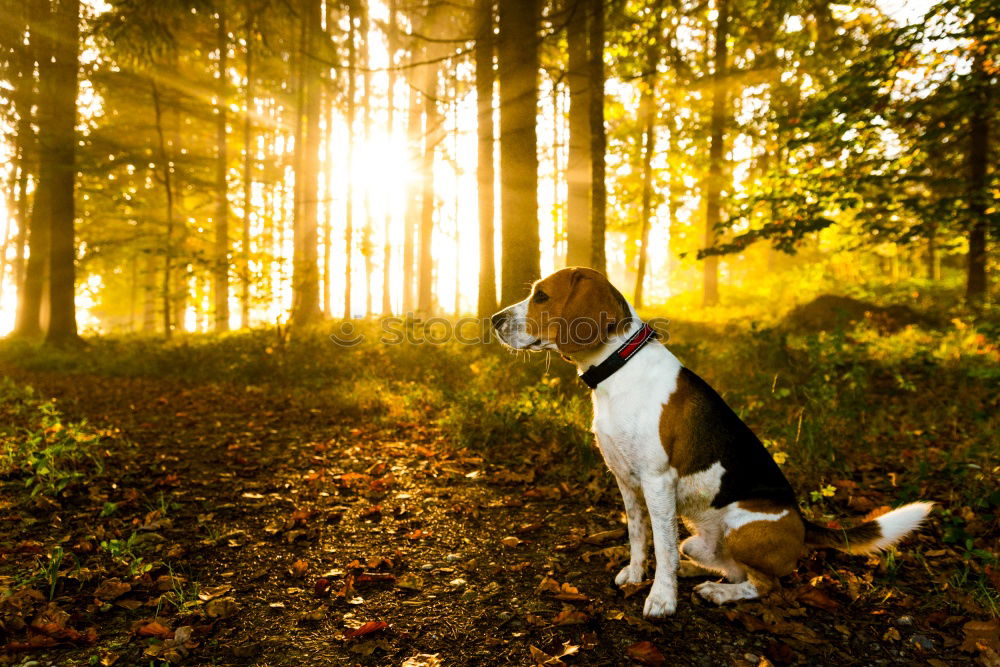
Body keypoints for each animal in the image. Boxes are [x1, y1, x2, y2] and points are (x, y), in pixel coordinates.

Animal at [490, 268, 928, 620]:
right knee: (726, 566)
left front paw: (662, 598)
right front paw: (637, 573)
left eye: (542, 296)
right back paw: (697, 574)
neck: (620, 367)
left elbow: (662, 545)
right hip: (700, 542)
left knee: (764, 583)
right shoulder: (626, 481)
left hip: (742, 528)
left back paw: (717, 592)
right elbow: (639, 535)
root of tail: (804, 523)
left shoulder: (657, 481)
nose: (494, 320)